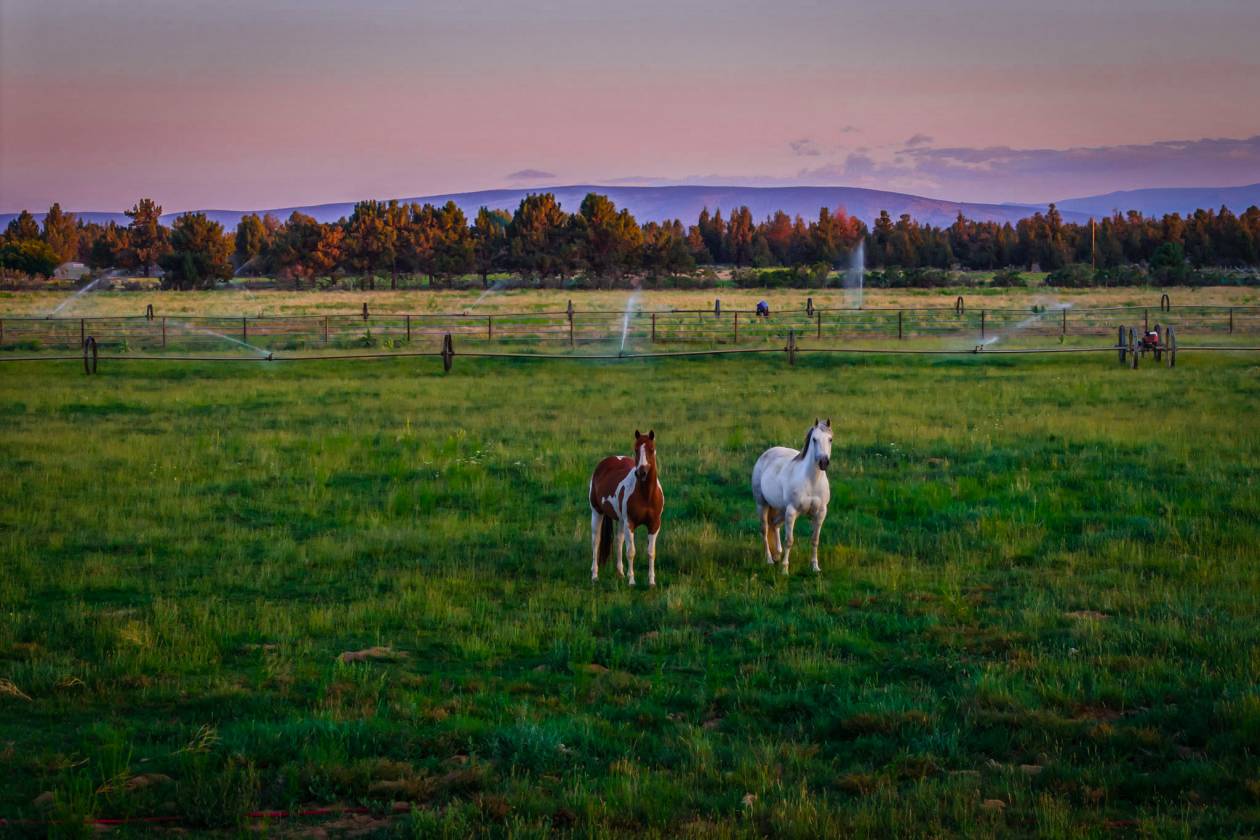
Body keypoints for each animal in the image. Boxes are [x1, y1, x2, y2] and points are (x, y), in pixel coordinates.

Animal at [589, 430, 664, 586]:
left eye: (651, 449)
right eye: (636, 449)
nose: (641, 473)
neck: (646, 495)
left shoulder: (654, 524)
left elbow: (651, 552)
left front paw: (651, 581)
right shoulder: (630, 523)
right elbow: (631, 551)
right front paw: (632, 581)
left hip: (620, 520)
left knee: (618, 541)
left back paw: (620, 573)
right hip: (596, 512)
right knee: (596, 541)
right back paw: (595, 575)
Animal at [751, 419, 832, 574]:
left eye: (830, 439)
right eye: (814, 439)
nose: (823, 462)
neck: (811, 481)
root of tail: (766, 454)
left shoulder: (820, 513)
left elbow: (815, 540)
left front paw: (815, 567)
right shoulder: (792, 511)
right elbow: (789, 541)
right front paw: (784, 569)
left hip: (780, 509)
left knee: (774, 525)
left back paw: (777, 553)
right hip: (762, 505)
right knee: (765, 530)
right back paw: (770, 559)